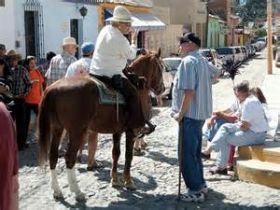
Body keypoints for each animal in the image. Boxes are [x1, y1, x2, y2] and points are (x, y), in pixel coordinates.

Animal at [37, 48, 164, 201]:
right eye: (161, 68)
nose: (163, 89)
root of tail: (53, 89)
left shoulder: (117, 130)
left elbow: (116, 153)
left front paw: (115, 180)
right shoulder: (130, 130)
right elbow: (128, 155)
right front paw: (128, 181)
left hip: (58, 129)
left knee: (53, 156)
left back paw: (57, 191)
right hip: (77, 131)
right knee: (69, 158)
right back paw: (77, 191)